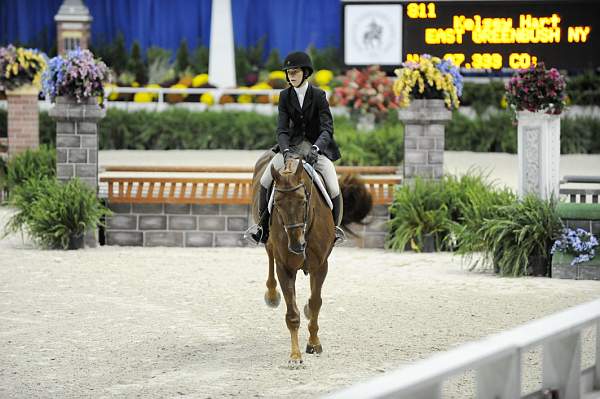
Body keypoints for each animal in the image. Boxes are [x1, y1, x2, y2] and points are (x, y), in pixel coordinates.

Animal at [248, 152, 370, 368]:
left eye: (303, 201)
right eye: (277, 204)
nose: (297, 246)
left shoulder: (320, 266)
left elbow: (315, 303)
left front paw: (314, 344)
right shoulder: (285, 268)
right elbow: (292, 314)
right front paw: (295, 356)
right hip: (269, 242)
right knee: (269, 252)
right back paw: (272, 295)